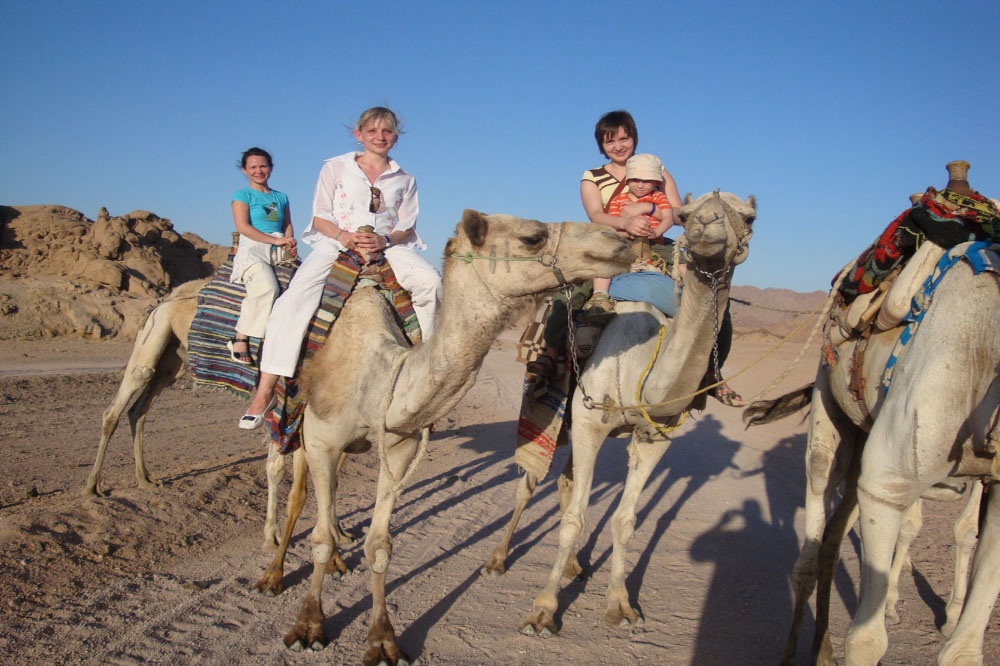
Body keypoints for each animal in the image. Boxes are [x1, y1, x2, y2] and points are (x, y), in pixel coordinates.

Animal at [272, 210, 632, 660]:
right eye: (533, 236)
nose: (618, 241)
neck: (376, 372)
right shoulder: (321, 439)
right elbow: (317, 536)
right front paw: (309, 624)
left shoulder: (399, 444)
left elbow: (380, 546)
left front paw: (383, 639)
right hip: (292, 416)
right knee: (286, 479)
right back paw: (272, 573)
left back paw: (338, 553)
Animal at [512, 189, 752, 636]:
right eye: (686, 214)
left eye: (749, 216)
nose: (707, 225)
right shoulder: (589, 424)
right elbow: (574, 521)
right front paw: (542, 612)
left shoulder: (654, 436)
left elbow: (624, 521)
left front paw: (621, 606)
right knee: (531, 480)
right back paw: (497, 560)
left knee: (566, 482)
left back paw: (574, 568)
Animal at [744, 246, 1000, 660]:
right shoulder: (888, 484)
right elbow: (866, 639)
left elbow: (962, 651)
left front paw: (950, 619)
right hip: (828, 401)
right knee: (811, 541)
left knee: (832, 542)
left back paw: (823, 651)